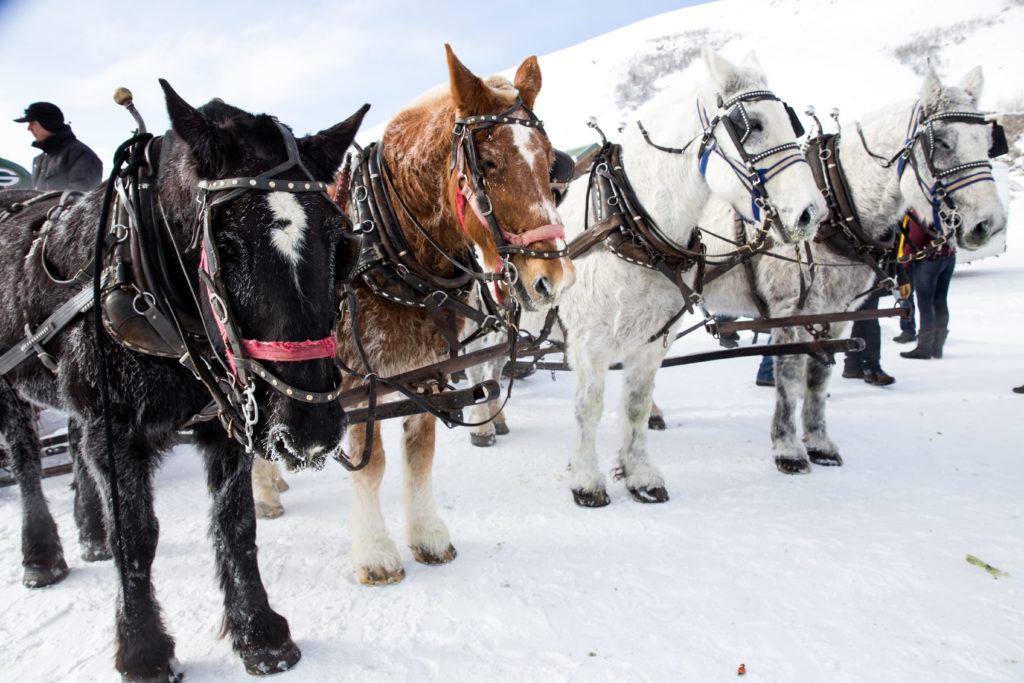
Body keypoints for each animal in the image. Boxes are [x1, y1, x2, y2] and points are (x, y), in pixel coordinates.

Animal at [0, 82, 368, 679]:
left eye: (341, 241)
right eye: (227, 243)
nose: (311, 430)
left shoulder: (230, 415)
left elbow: (236, 524)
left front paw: (259, 634)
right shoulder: (115, 427)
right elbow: (137, 535)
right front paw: (144, 649)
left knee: (72, 448)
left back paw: (89, 532)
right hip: (11, 391)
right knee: (28, 461)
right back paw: (42, 556)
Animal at [700, 62, 1003, 471]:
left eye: (987, 140)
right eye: (941, 142)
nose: (990, 223)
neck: (836, 211)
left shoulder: (838, 312)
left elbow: (819, 378)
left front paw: (820, 444)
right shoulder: (791, 309)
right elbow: (790, 376)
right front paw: (788, 449)